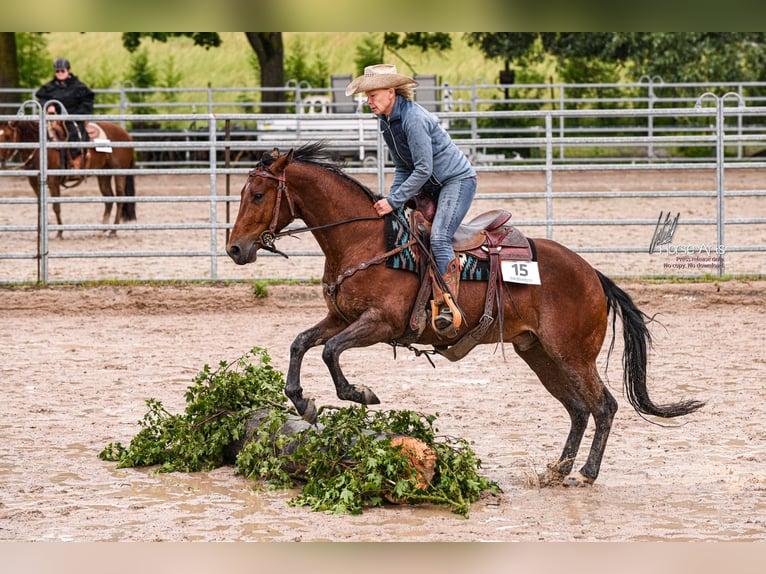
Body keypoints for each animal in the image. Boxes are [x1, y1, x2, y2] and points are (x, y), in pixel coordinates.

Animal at [0, 119, 137, 239]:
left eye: (7, 136)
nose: (0, 161)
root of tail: (126, 135)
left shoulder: (53, 181)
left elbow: (56, 207)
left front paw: (59, 233)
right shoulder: (33, 181)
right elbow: (41, 206)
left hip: (119, 172)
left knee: (120, 198)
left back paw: (113, 231)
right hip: (104, 174)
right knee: (109, 199)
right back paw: (102, 231)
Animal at [226, 143, 705, 487]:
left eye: (258, 194)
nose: (234, 248)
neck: (369, 240)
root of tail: (594, 275)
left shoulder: (379, 323)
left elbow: (330, 353)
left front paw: (360, 393)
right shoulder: (340, 318)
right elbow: (301, 343)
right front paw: (302, 401)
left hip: (573, 354)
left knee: (603, 405)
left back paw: (585, 474)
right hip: (539, 352)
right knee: (577, 409)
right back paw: (558, 469)